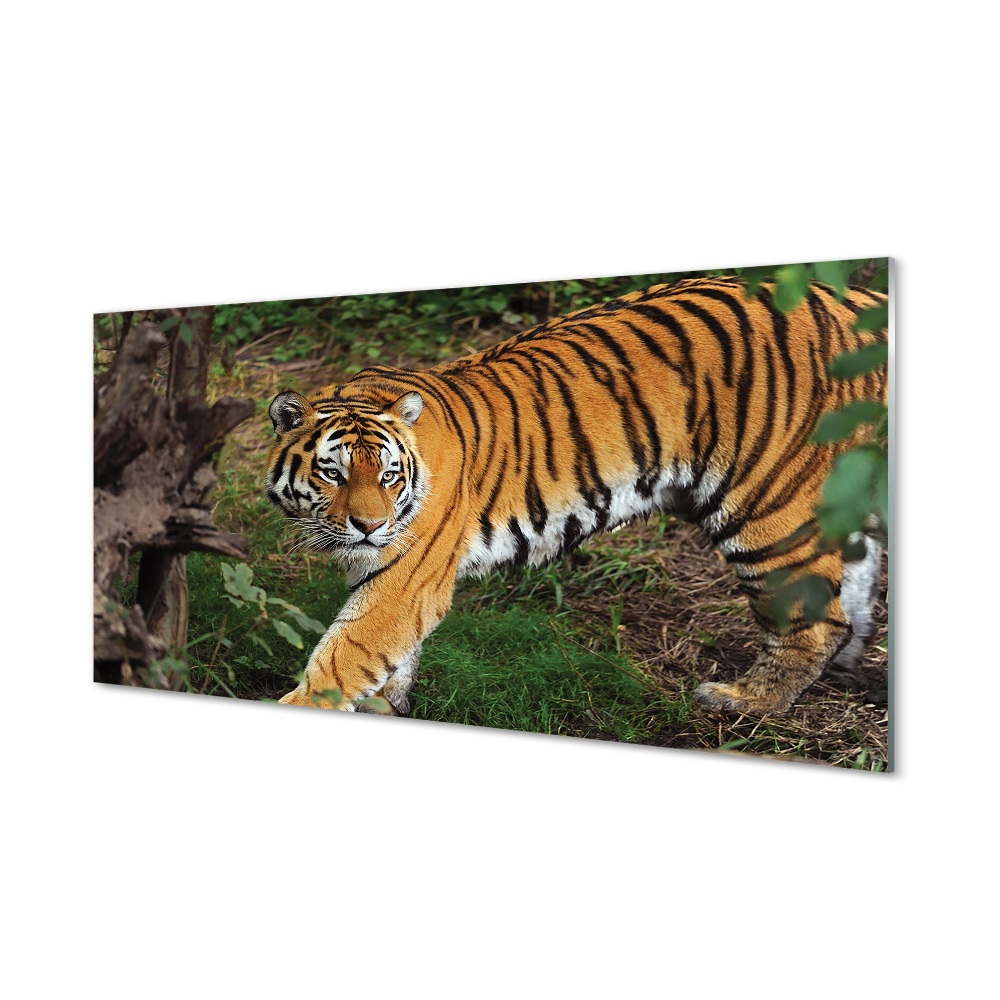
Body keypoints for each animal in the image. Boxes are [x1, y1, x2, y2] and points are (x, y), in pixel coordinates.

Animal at [265, 275, 889, 716]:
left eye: (389, 476)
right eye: (333, 473)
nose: (369, 527)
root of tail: (853, 301)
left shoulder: (405, 576)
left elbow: (347, 653)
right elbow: (385, 656)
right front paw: (388, 704)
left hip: (766, 507)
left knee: (819, 620)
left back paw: (744, 701)